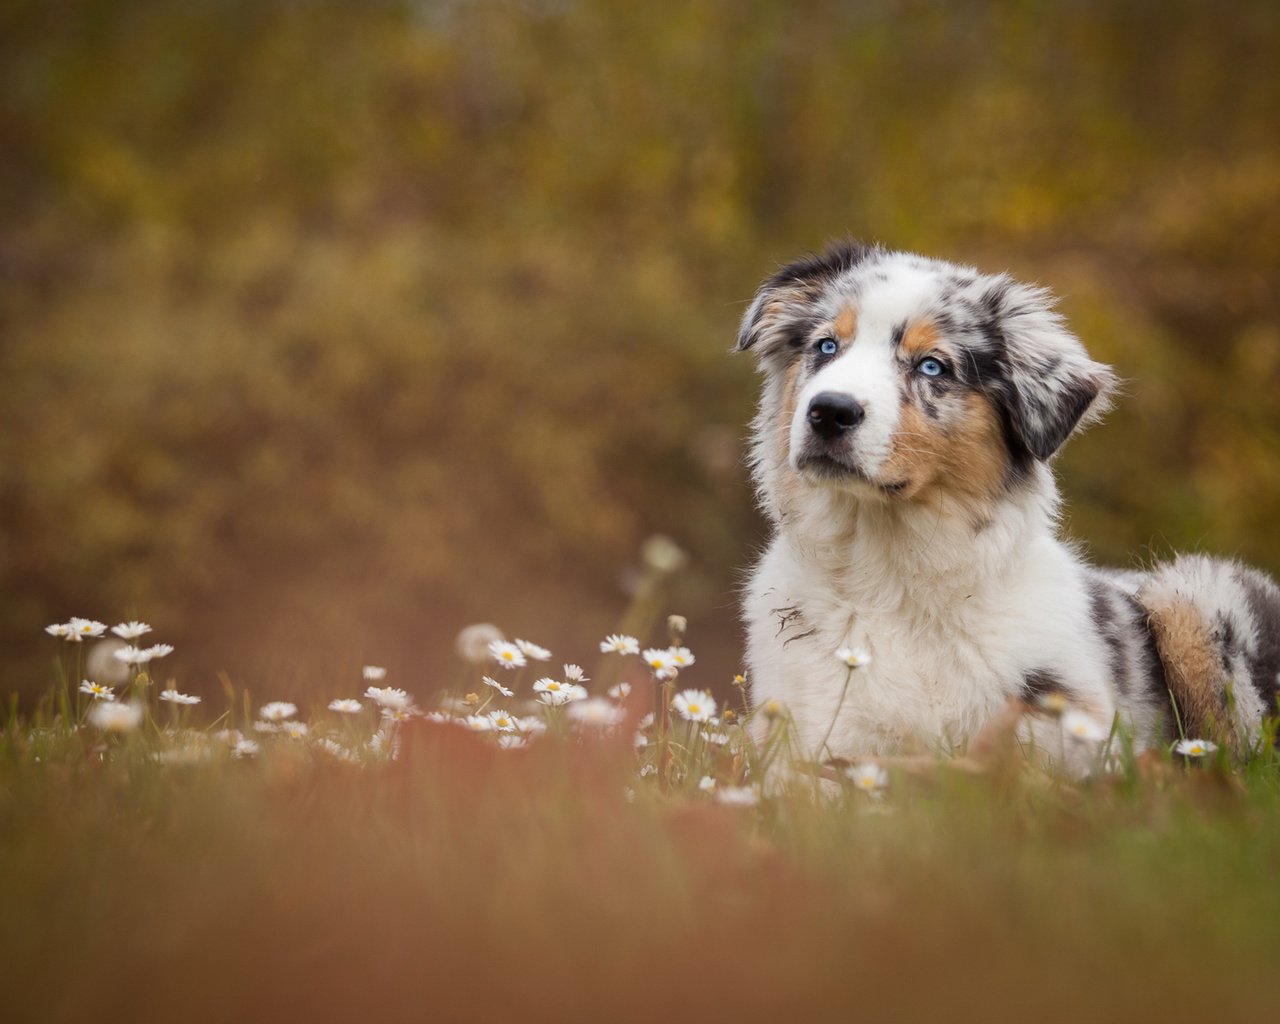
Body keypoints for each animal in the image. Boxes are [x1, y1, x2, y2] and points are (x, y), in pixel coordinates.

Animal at [737, 241, 1280, 768]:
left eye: (932, 365)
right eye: (826, 347)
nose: (829, 411)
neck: (889, 572)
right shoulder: (814, 750)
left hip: (1196, 595)